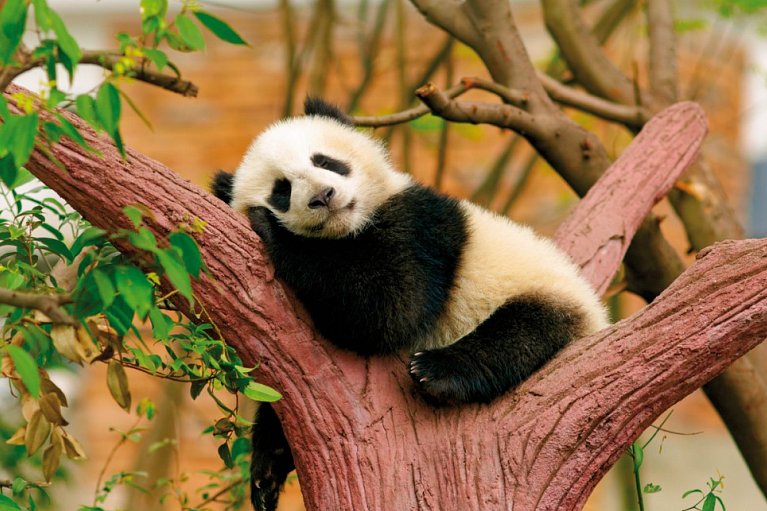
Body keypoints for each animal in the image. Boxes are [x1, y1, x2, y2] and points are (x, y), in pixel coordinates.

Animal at [211, 97, 608, 511]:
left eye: (325, 161)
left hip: (545, 292)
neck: (349, 229)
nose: (323, 196)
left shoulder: (420, 225)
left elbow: (391, 308)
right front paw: (267, 468)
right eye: (282, 190)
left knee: (522, 332)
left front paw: (272, 229)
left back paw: (437, 371)